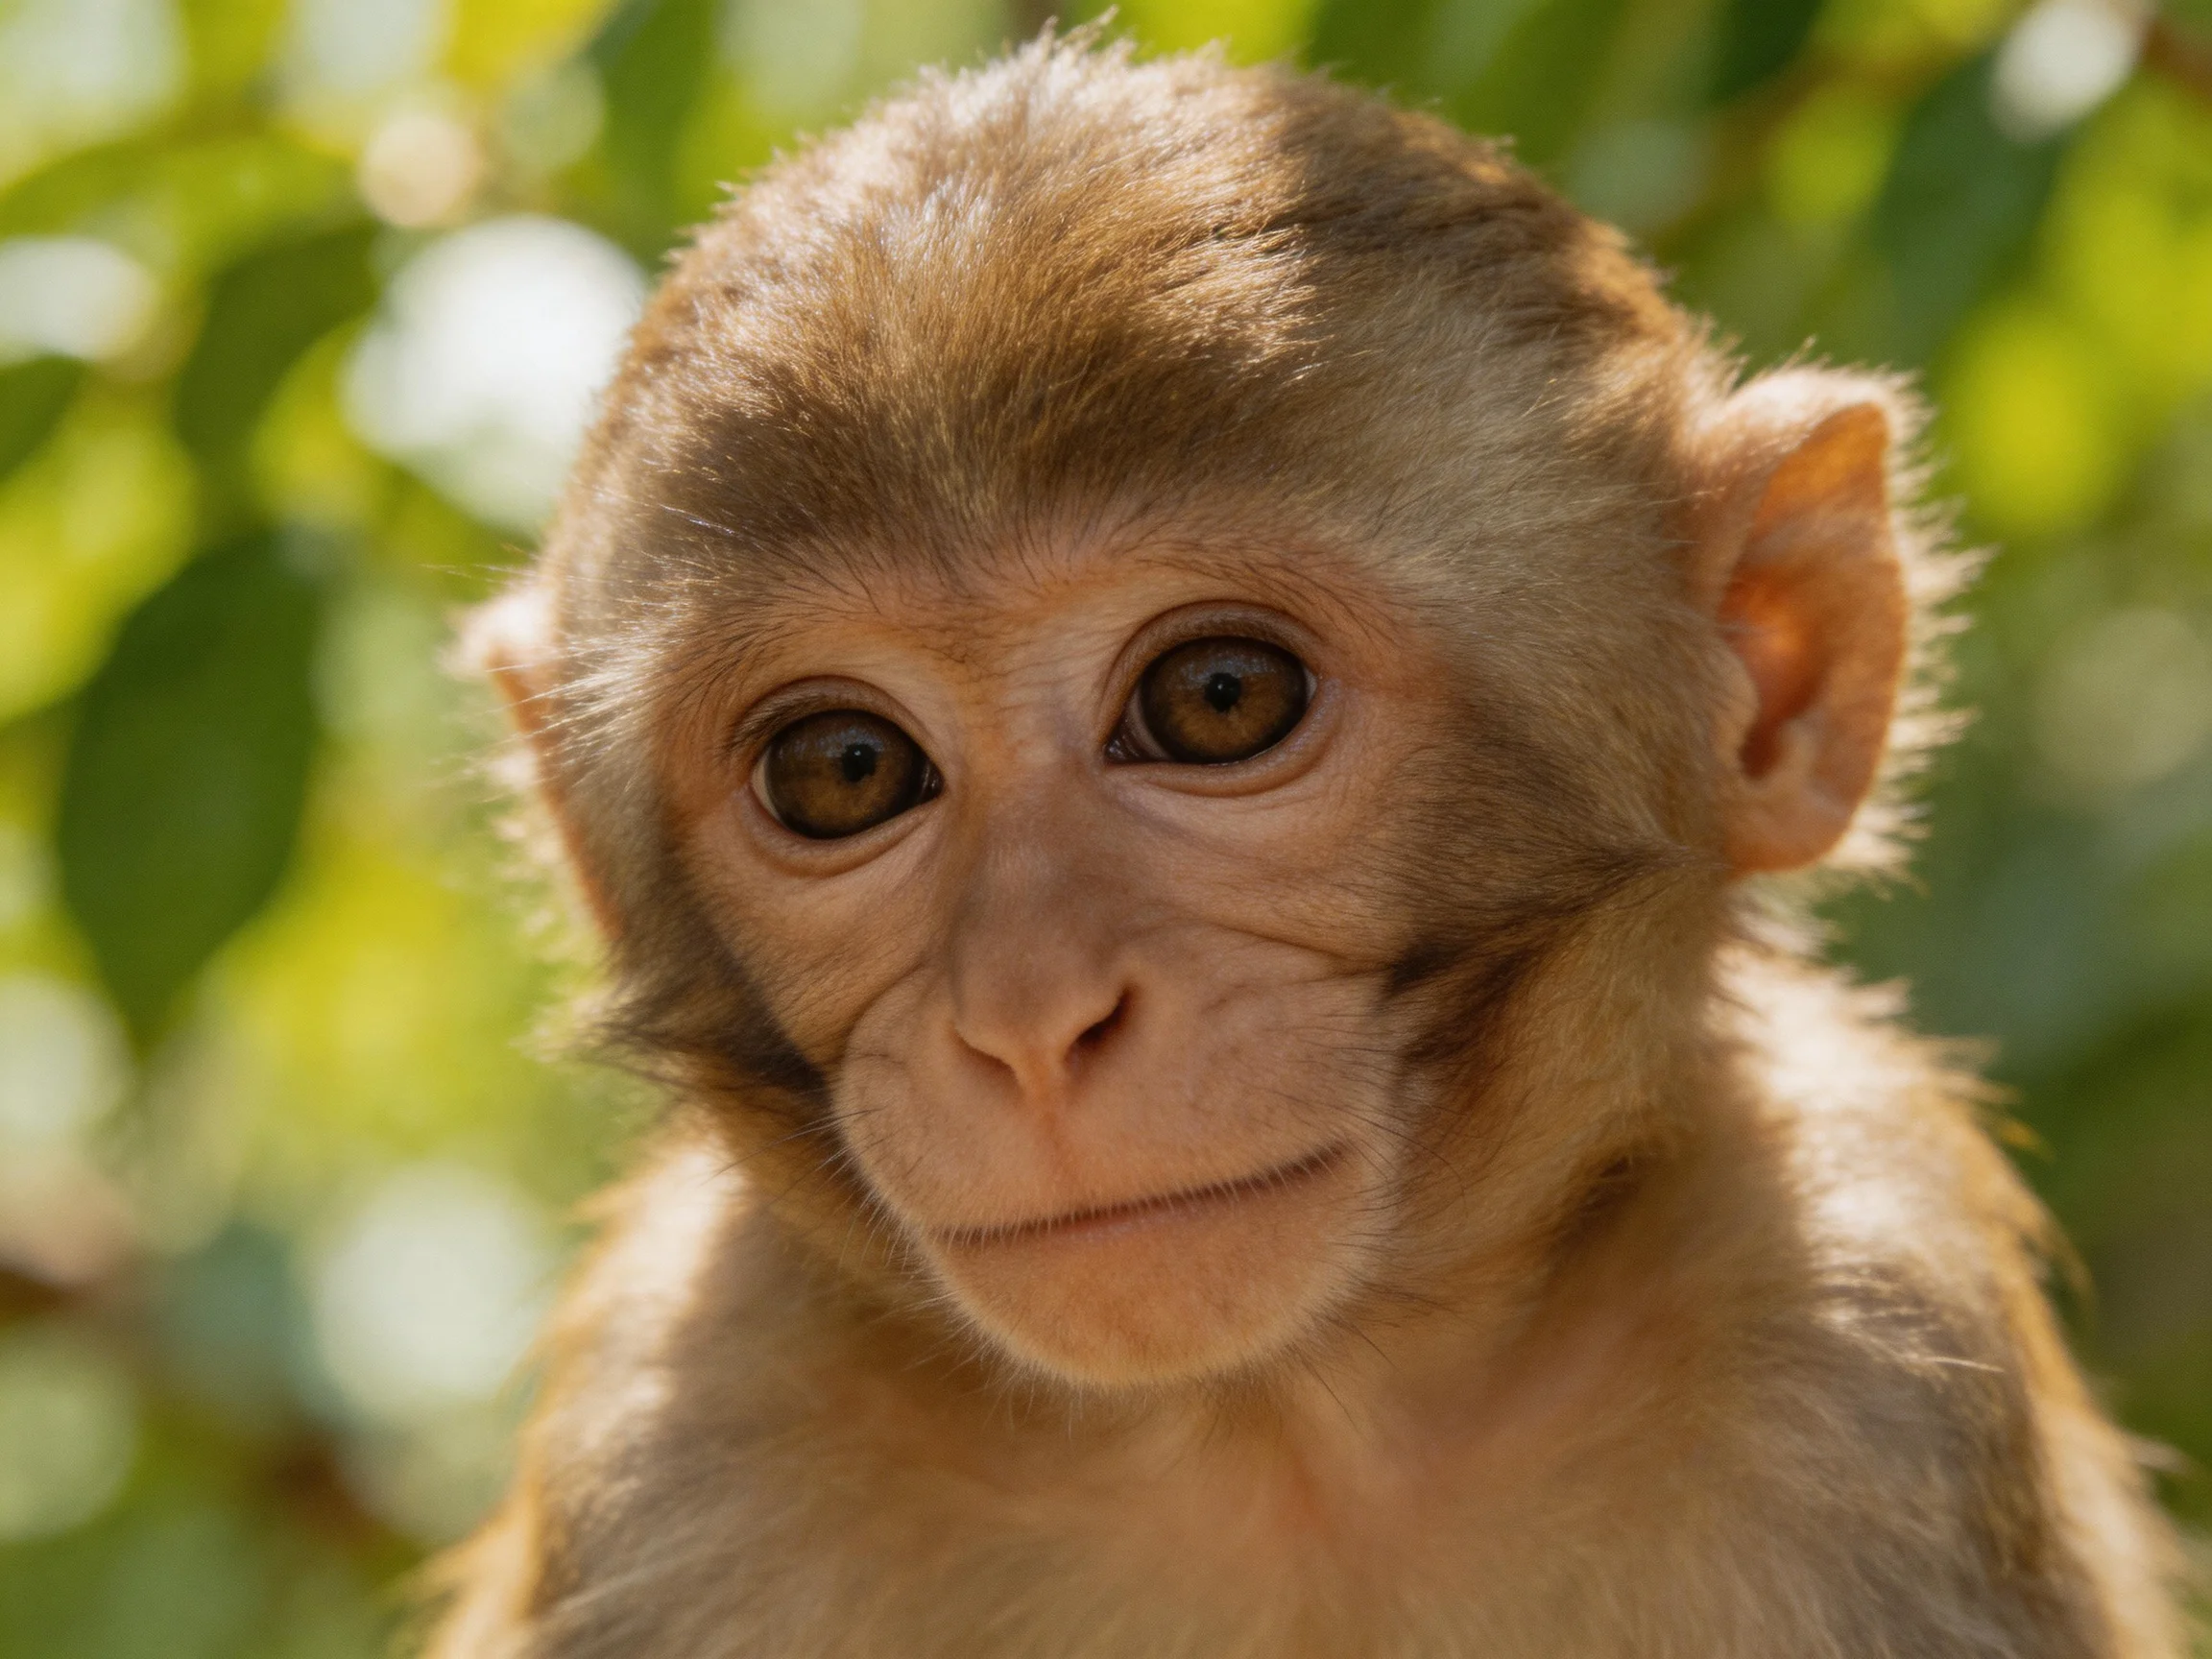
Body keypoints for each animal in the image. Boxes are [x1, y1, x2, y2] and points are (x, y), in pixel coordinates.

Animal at [427, 35, 2189, 1659]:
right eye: (844, 770)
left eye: (1218, 696)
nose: (1030, 1020)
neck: (1281, 1434)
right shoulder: (675, 1420)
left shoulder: (1877, 1331)